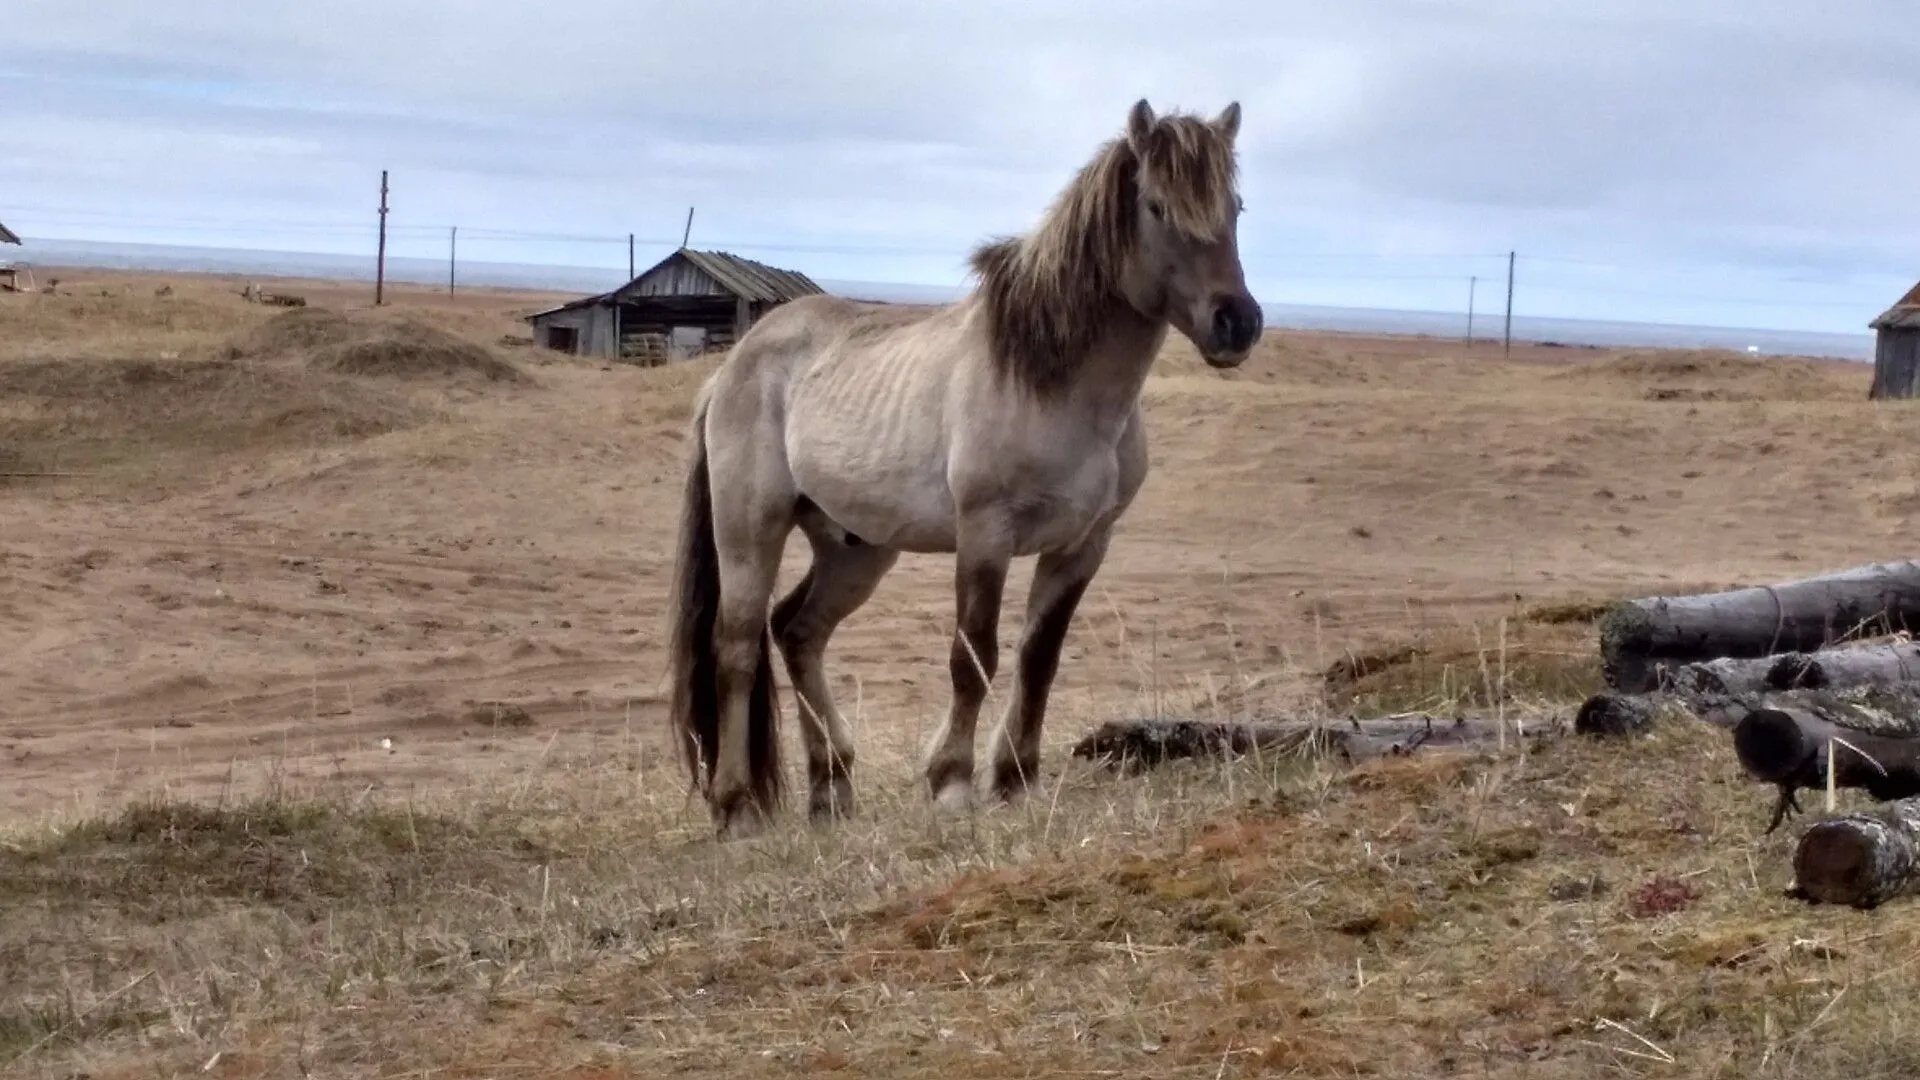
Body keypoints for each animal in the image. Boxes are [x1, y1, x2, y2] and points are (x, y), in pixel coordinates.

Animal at [660, 96, 1259, 837]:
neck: (1054, 382)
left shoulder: (1083, 545)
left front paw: (1017, 779)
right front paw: (951, 782)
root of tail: (735, 364)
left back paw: (832, 788)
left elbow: (1038, 658)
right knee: (737, 648)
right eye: (1155, 206)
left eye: (1235, 206)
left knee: (797, 631)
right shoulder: (985, 535)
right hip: (751, 530)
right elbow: (974, 656)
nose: (1236, 323)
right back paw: (737, 807)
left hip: (855, 547)